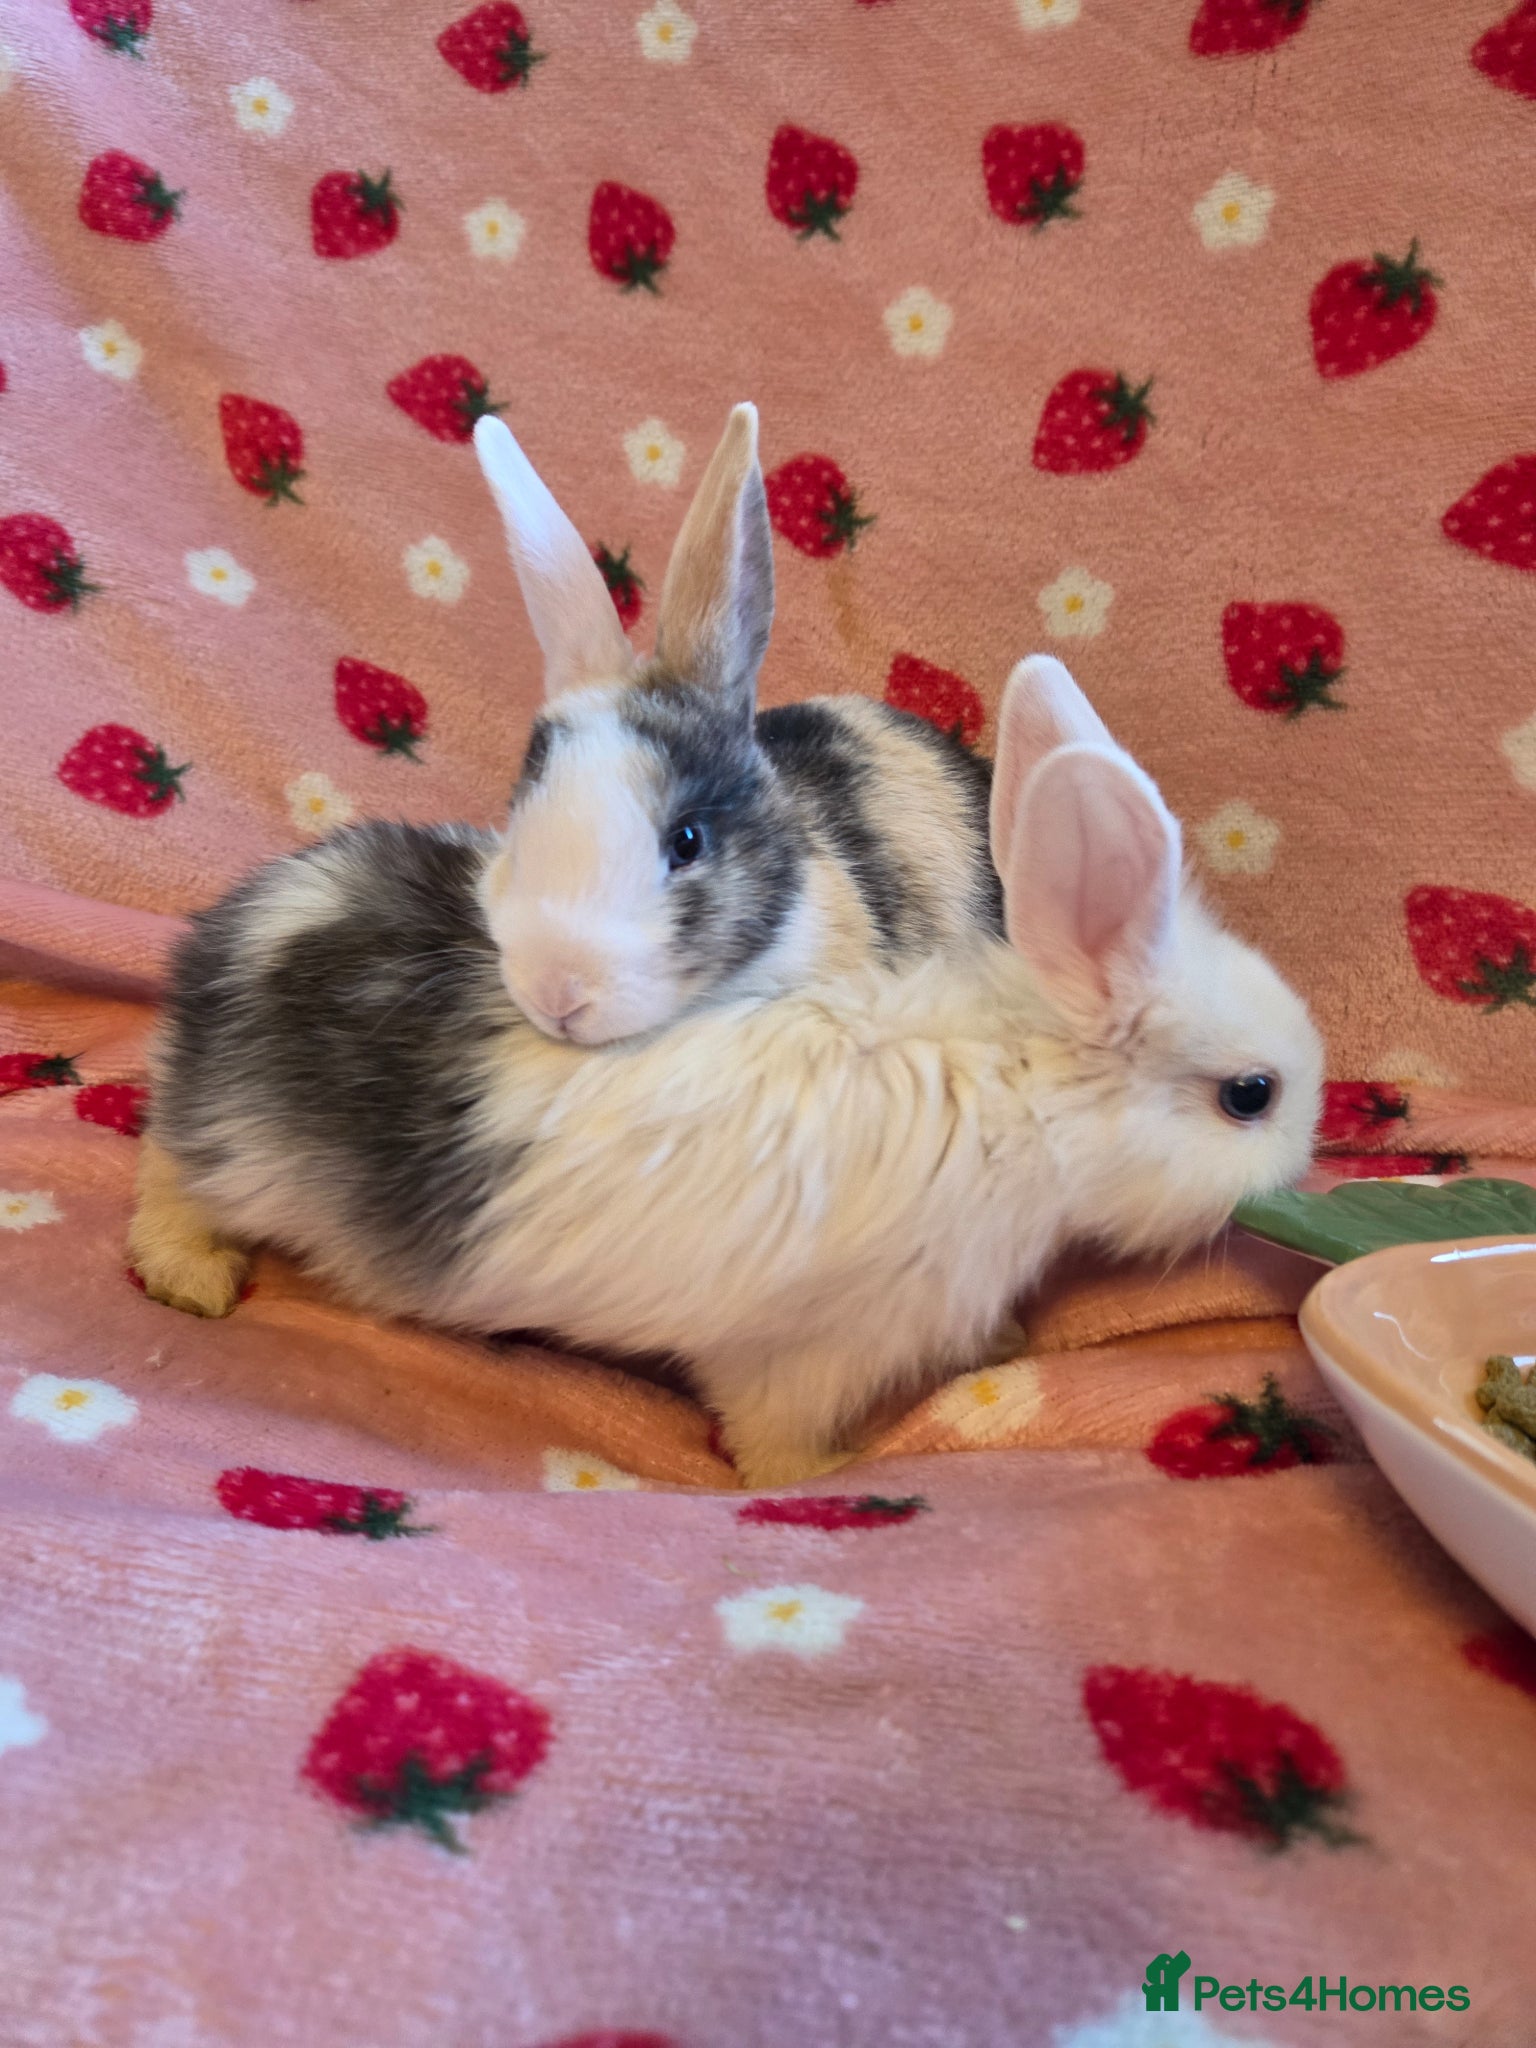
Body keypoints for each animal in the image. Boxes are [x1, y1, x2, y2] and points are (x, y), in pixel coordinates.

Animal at [128, 654, 1324, 1489]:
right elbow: (770, 1436)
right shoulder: (813, 1346)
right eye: (1250, 1095)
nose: (1307, 1158)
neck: (1022, 1086)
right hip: (250, 1154)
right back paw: (191, 1276)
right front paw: (830, 1472)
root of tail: (255, 929)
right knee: (169, 1172)